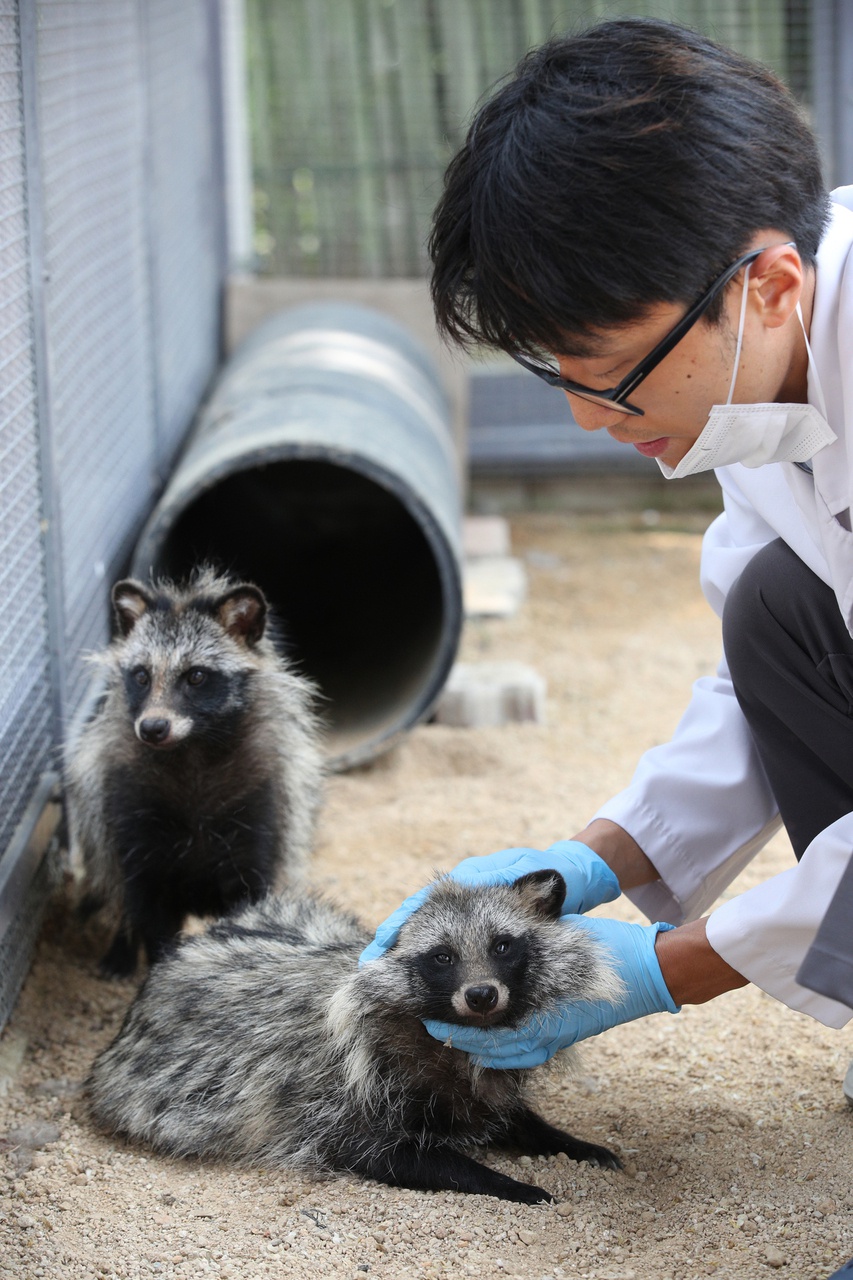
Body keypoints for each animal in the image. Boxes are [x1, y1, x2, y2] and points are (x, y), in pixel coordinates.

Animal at [65, 565, 322, 972]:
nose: (153, 728)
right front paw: (154, 968)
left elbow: (253, 897)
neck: (191, 752)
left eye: (196, 676)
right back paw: (120, 948)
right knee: (119, 890)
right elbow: (147, 907)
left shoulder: (261, 800)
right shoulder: (130, 804)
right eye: (141, 676)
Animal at [86, 870, 622, 1198]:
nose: (482, 995)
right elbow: (394, 1155)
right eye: (442, 956)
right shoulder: (336, 1095)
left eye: (503, 945)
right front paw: (507, 1183)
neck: (455, 1040)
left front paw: (567, 1141)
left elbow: (509, 1115)